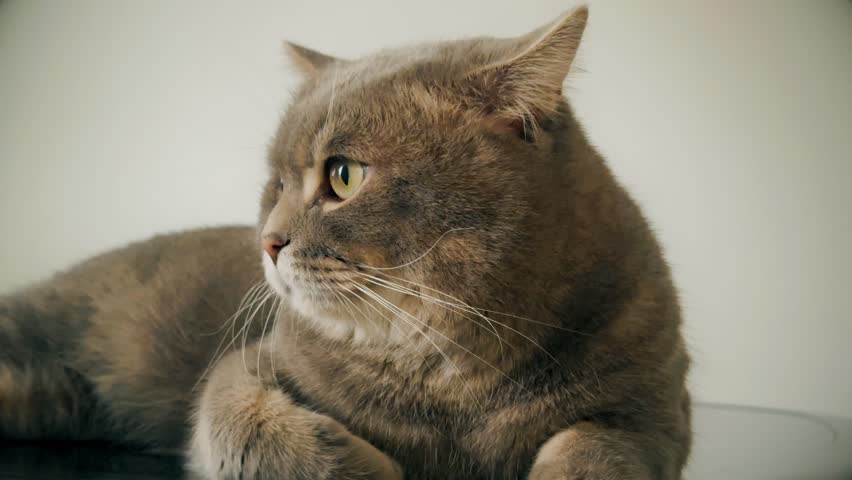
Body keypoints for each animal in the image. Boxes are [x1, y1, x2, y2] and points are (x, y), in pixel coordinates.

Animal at [0, 7, 692, 480]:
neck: (452, 382)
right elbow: (257, 430)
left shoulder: (656, 410)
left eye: (343, 176)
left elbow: (596, 450)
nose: (269, 242)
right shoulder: (245, 369)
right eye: (276, 183)